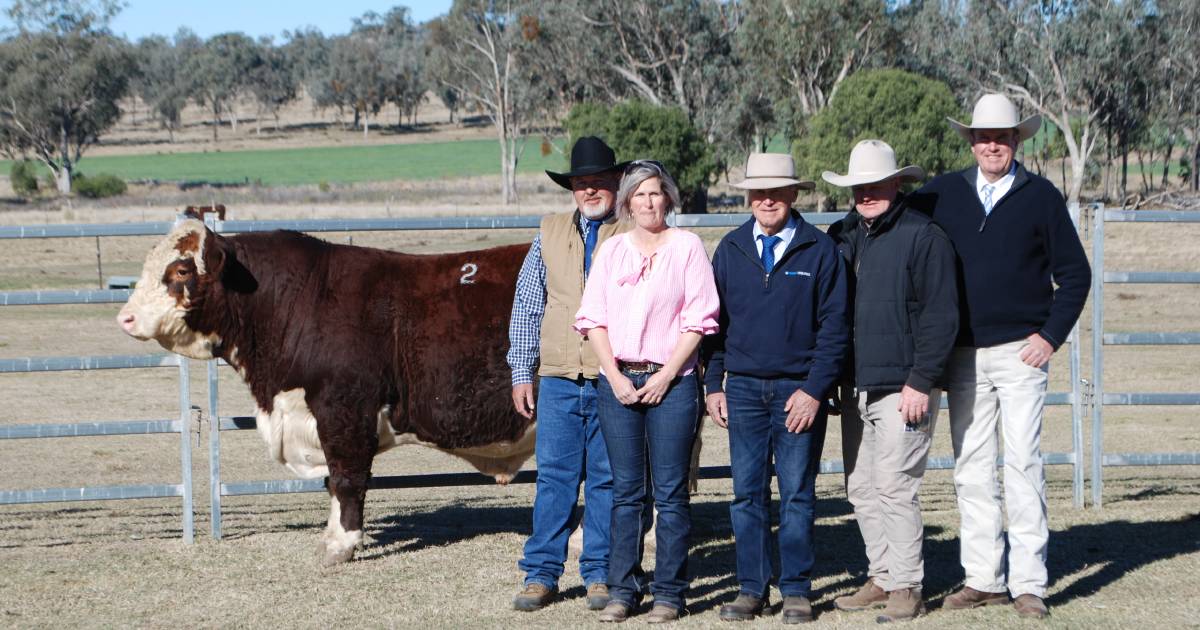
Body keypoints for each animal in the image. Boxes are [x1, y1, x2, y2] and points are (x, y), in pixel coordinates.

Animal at [120, 219, 535, 564]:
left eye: (182, 269)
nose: (126, 317)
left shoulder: (344, 412)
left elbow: (346, 478)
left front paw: (341, 546)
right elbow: (332, 482)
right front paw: (331, 539)